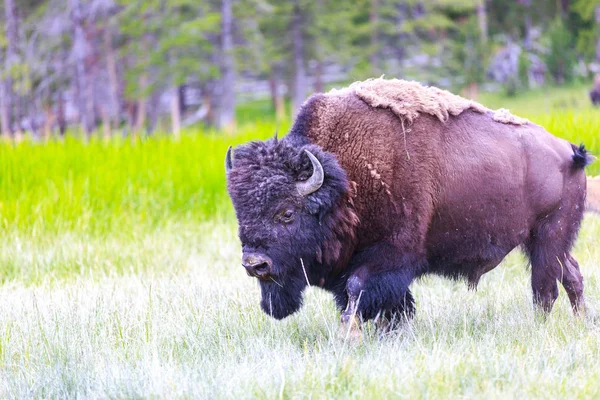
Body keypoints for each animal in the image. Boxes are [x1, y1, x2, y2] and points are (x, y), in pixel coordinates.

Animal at [226, 79, 596, 332]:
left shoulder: (391, 255)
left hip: (547, 237)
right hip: (549, 242)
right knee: (571, 275)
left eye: (286, 212)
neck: (343, 179)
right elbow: (381, 301)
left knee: (545, 289)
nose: (254, 264)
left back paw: (543, 326)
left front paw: (351, 333)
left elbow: (358, 289)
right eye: (240, 213)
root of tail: (569, 151)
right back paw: (582, 322)